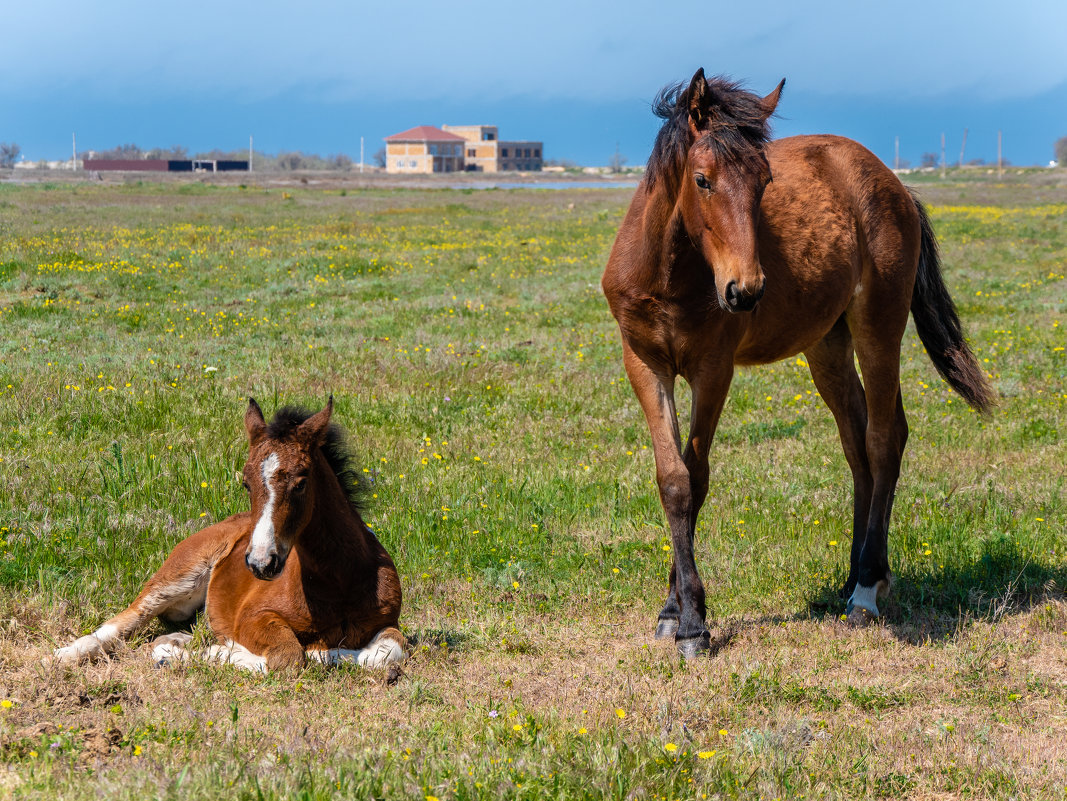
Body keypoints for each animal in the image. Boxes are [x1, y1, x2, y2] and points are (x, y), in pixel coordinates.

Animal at [54, 398, 405, 669]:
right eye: (246, 483)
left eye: (301, 482)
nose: (261, 562)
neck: (338, 582)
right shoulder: (254, 617)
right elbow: (289, 657)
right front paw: (205, 652)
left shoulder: (388, 623)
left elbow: (386, 654)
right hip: (177, 576)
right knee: (127, 619)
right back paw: (66, 654)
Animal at [606, 68, 994, 657]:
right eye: (702, 179)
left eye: (765, 182)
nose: (745, 290)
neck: (669, 275)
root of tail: (896, 185)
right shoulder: (646, 365)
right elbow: (673, 480)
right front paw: (673, 612)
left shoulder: (713, 369)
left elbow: (697, 477)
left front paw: (695, 621)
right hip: (827, 345)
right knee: (859, 443)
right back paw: (856, 577)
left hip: (878, 327)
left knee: (883, 440)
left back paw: (865, 591)